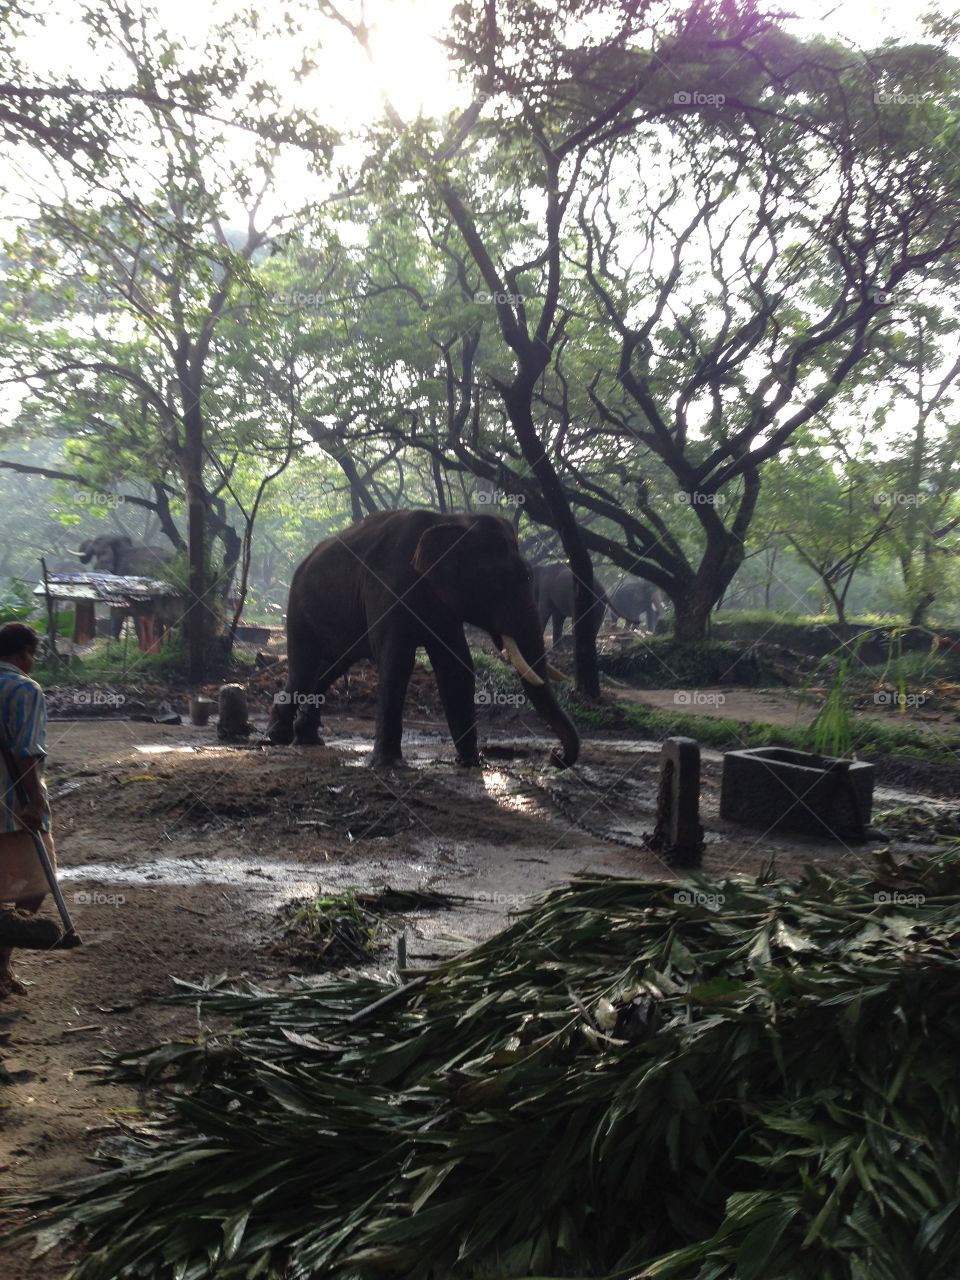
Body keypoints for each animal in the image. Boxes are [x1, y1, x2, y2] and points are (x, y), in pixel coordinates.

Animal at [266, 510, 580, 769]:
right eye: (499, 582)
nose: (555, 757)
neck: (451, 520)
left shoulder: (443, 604)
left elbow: (456, 665)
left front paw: (471, 762)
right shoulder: (387, 588)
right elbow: (396, 661)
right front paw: (388, 765)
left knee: (331, 668)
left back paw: (305, 738)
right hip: (298, 606)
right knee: (304, 667)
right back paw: (277, 736)